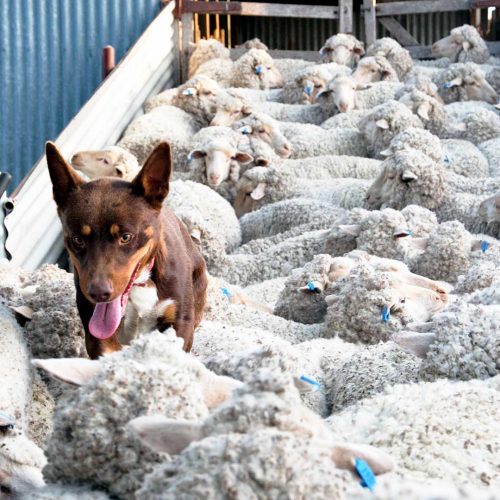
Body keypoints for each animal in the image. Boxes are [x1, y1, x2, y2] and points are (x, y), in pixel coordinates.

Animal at [44, 142, 206, 360]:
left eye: (126, 237)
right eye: (78, 239)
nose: (99, 293)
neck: (141, 284)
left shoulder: (180, 325)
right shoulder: (97, 333)